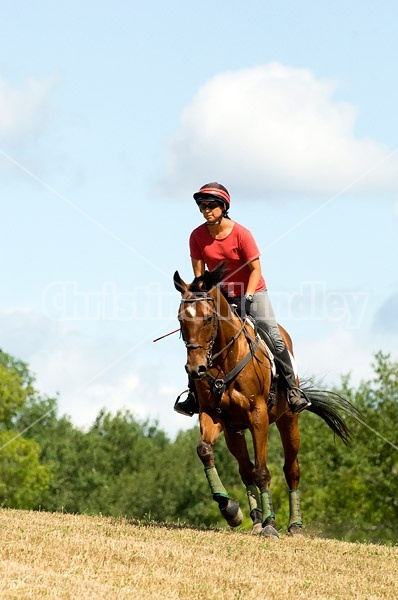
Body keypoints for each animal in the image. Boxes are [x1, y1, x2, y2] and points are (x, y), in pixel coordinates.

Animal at [174, 264, 358, 536]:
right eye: (180, 320)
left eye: (207, 318)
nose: (195, 369)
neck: (223, 360)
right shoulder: (213, 414)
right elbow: (205, 450)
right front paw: (230, 508)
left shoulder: (258, 416)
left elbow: (263, 471)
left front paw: (271, 525)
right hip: (234, 430)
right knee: (245, 470)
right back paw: (255, 518)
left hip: (288, 420)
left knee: (291, 470)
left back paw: (293, 525)